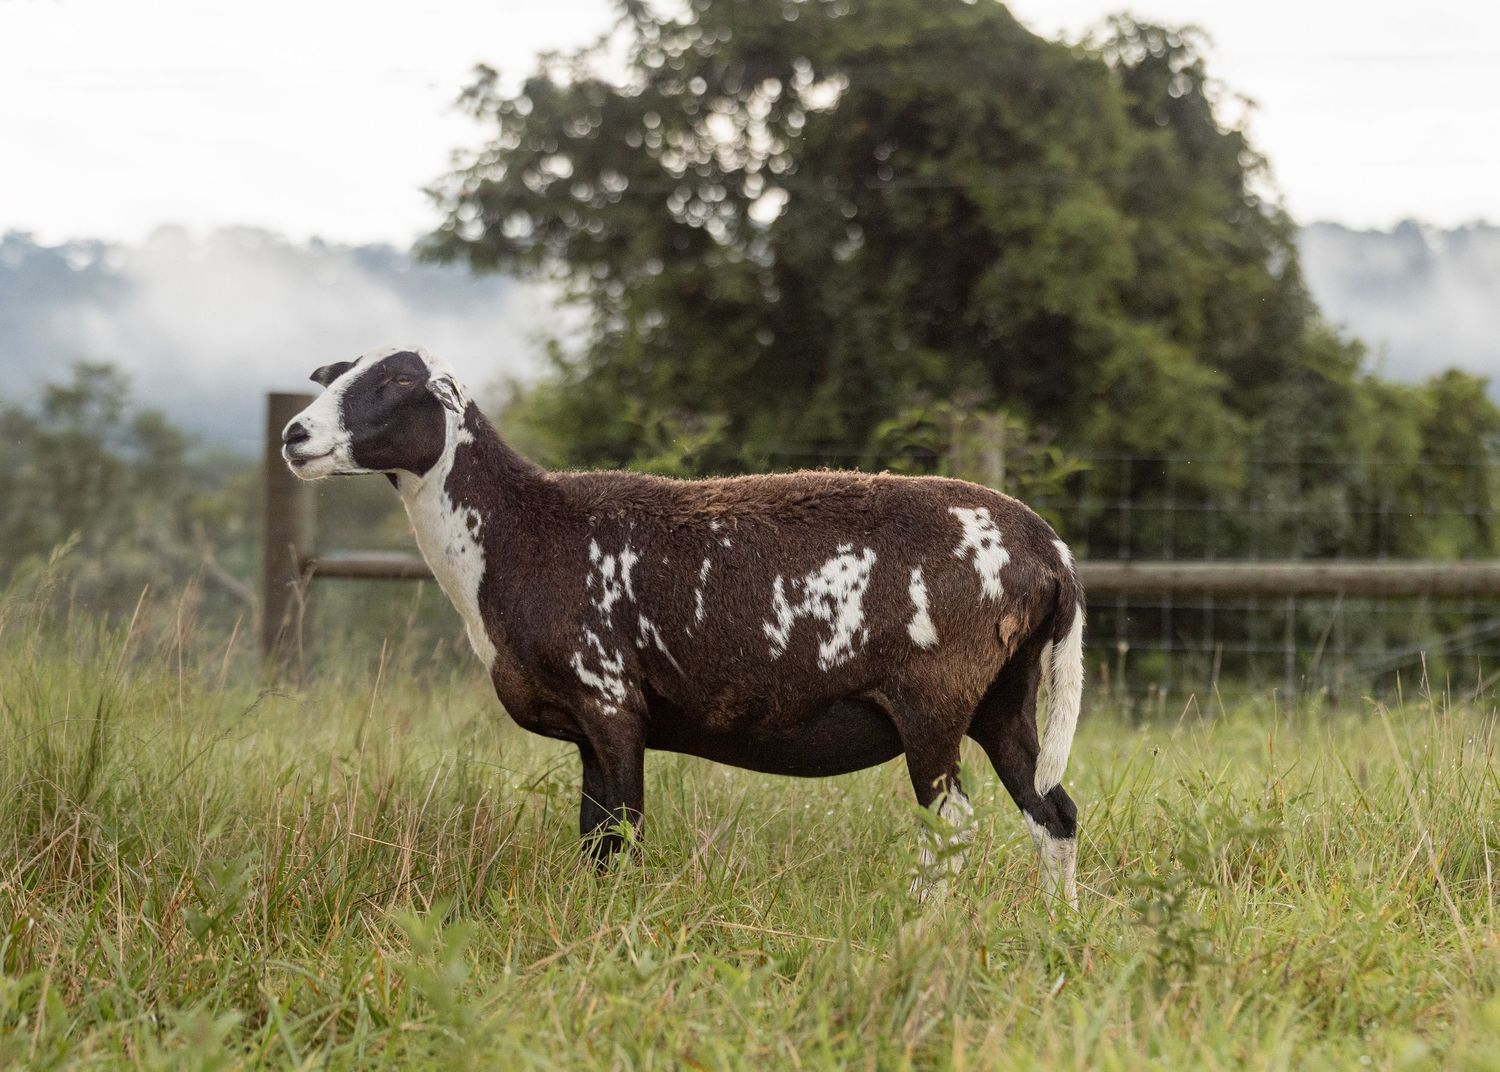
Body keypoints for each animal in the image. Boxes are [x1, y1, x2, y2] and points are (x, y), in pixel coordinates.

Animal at [282, 346, 1086, 906]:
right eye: (335, 376)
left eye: (396, 382)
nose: (294, 434)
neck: (515, 531)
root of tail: (1050, 549)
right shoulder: (586, 727)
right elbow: (596, 839)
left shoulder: (611, 700)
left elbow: (624, 832)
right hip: (1003, 698)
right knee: (1054, 812)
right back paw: (1060, 929)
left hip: (934, 698)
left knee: (954, 825)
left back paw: (926, 924)